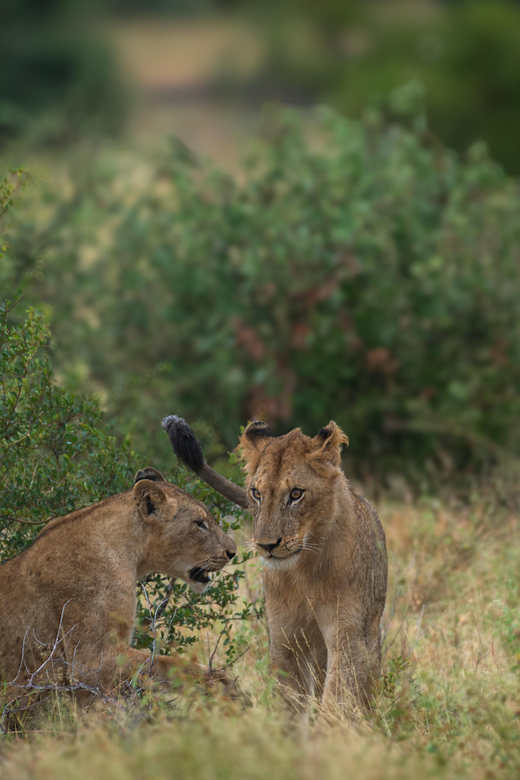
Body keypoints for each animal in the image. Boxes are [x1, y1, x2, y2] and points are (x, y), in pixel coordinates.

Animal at [0, 464, 238, 712]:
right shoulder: (88, 662)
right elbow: (169, 665)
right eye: (199, 523)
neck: (129, 550)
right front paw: (226, 688)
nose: (233, 551)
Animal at [162, 414, 386, 720]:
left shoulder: (349, 638)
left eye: (296, 494)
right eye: (256, 494)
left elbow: (337, 698)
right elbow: (289, 704)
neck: (305, 569)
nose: (266, 545)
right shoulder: (284, 640)